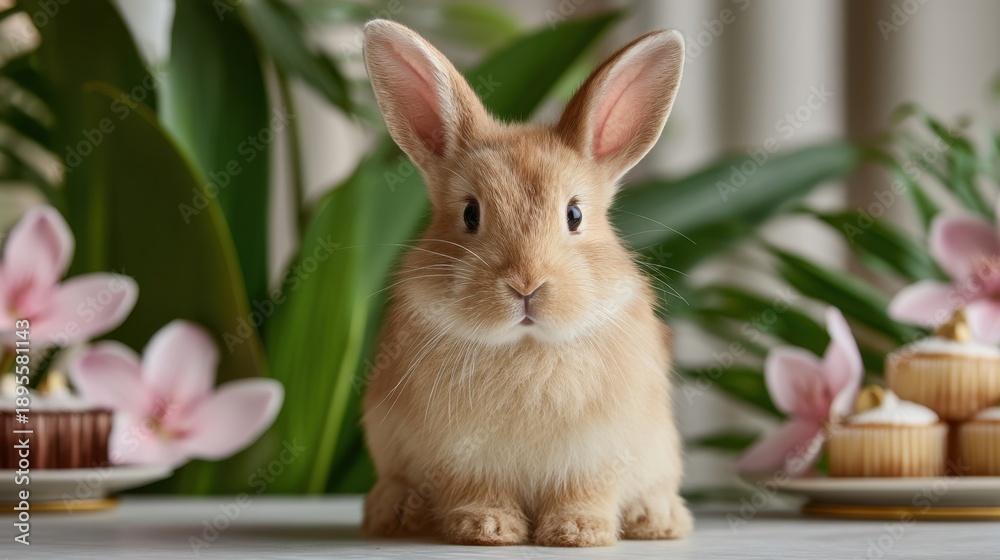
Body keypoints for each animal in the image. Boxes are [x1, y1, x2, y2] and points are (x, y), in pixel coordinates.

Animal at [360, 19, 690, 547]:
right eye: (471, 214)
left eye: (574, 215)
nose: (526, 285)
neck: (526, 344)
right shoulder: (462, 456)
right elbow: (477, 490)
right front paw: (487, 529)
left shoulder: (599, 452)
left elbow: (585, 491)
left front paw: (577, 532)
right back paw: (394, 514)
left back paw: (657, 519)